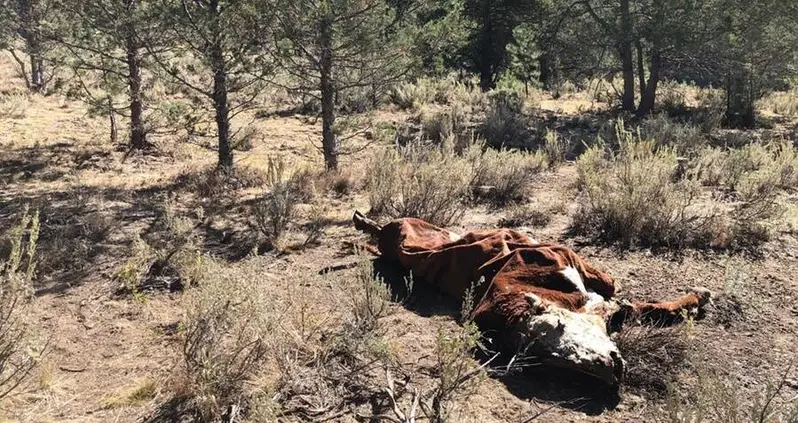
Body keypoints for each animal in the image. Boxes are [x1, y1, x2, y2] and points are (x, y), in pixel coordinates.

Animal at [351, 211, 712, 388]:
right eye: (554, 361)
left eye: (559, 333)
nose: (610, 375)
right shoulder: (564, 260)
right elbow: (619, 291)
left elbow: (642, 305)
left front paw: (694, 300)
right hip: (408, 236)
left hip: (422, 230)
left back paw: (364, 221)